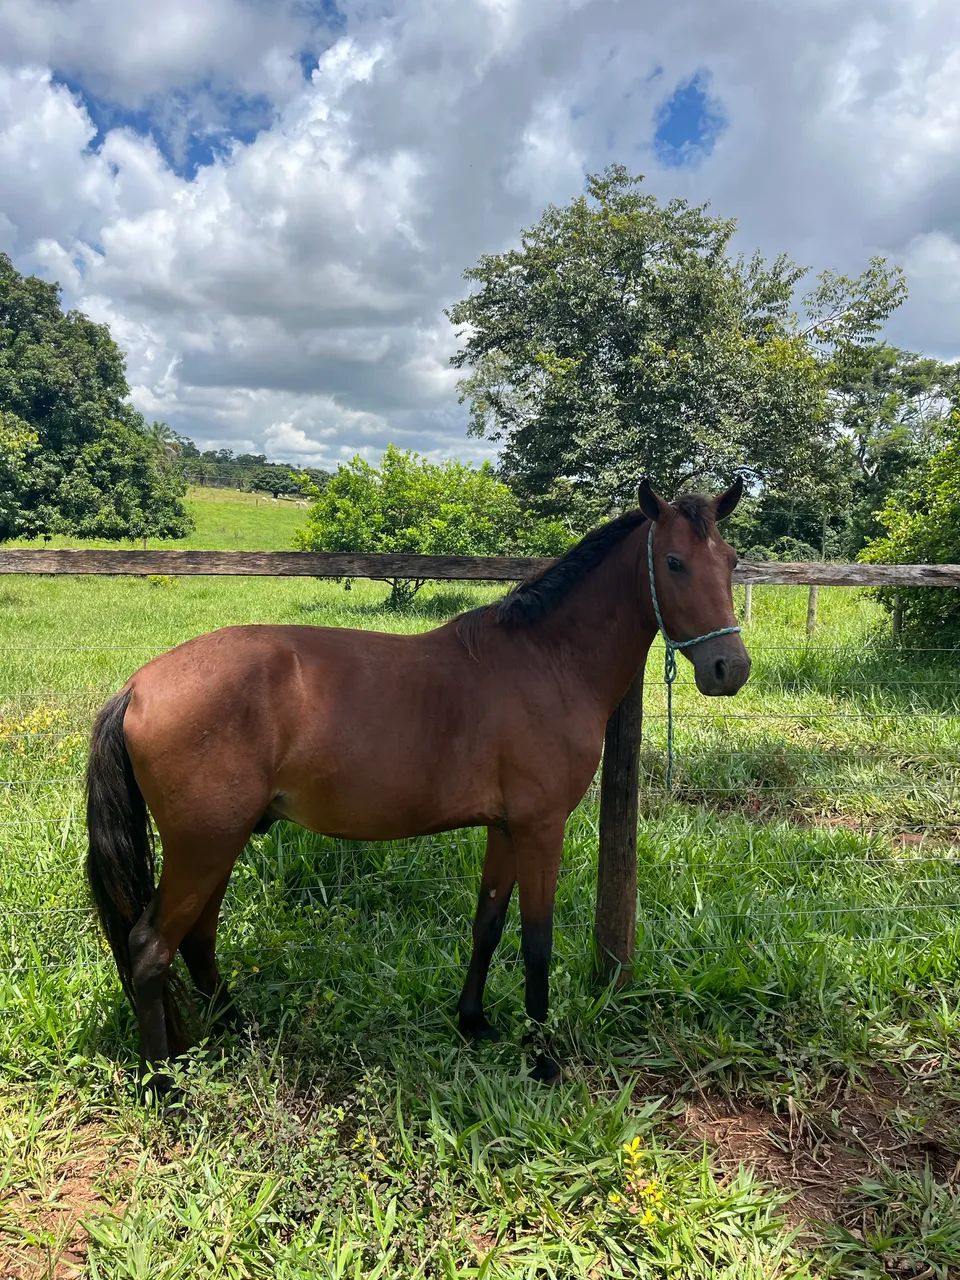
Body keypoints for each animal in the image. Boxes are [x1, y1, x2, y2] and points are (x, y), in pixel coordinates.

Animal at [86, 477, 750, 1087]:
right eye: (674, 562)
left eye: (732, 560)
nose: (730, 670)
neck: (547, 660)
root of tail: (139, 686)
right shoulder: (540, 828)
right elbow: (537, 942)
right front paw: (543, 1057)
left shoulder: (506, 829)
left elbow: (488, 924)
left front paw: (474, 1022)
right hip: (204, 847)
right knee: (150, 950)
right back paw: (161, 1083)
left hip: (218, 845)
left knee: (197, 939)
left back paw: (233, 1027)